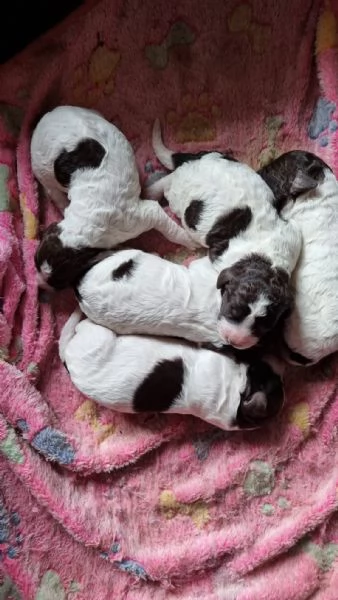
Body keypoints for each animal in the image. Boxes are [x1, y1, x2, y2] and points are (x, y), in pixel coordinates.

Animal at [31, 106, 195, 290]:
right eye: (34, 262)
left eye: (58, 283)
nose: (38, 285)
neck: (82, 222)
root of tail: (46, 116)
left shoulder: (141, 217)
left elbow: (170, 230)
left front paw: (189, 241)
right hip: (44, 173)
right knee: (54, 192)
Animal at [59, 310, 284, 432]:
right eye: (264, 371)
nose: (279, 360)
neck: (236, 401)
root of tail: (68, 363)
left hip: (97, 336)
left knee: (83, 325)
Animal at [145, 120, 302, 346]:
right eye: (232, 309)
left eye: (264, 325)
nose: (234, 341)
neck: (266, 259)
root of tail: (195, 158)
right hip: (177, 189)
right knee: (167, 181)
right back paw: (151, 191)